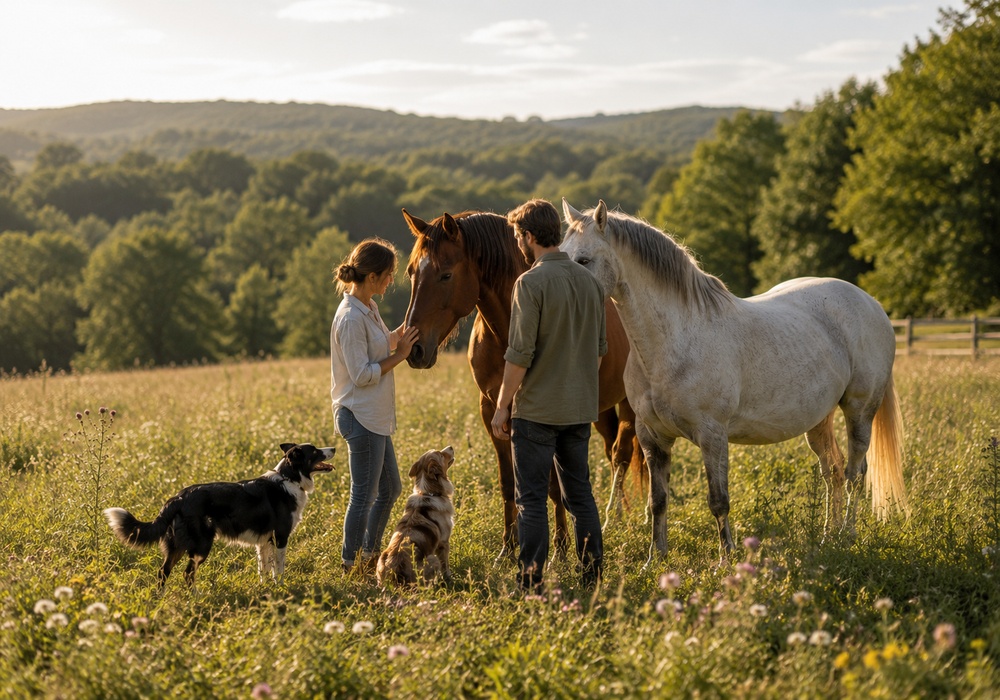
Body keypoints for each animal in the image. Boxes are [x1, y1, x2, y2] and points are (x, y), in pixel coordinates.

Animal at [400, 208, 644, 559]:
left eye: (445, 275)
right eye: (411, 273)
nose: (415, 349)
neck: (508, 330)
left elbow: (553, 484)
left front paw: (560, 547)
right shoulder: (492, 411)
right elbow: (508, 482)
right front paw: (508, 546)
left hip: (628, 406)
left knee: (623, 455)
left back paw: (619, 517)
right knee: (613, 453)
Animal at [560, 199, 908, 565]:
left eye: (584, 260)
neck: (676, 340)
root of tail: (872, 303)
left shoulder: (713, 435)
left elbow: (718, 501)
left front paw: (725, 561)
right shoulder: (652, 436)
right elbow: (658, 501)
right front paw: (654, 560)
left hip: (859, 411)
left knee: (855, 473)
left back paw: (847, 535)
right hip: (819, 420)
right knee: (833, 472)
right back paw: (829, 538)